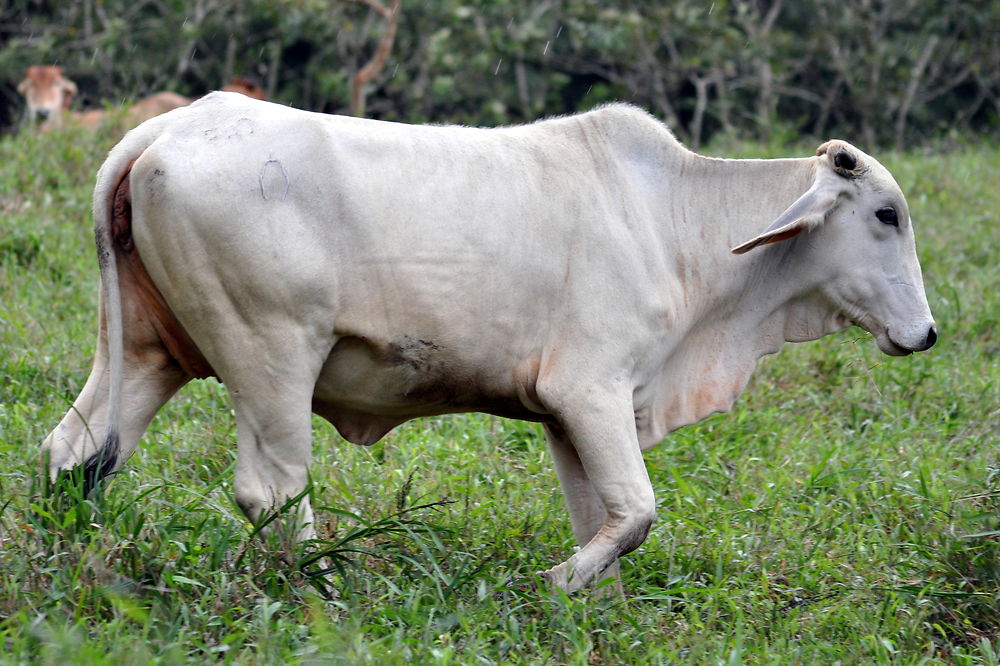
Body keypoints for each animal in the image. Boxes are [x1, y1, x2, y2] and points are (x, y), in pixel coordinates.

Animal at [43, 92, 932, 592]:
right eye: (886, 214)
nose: (924, 334)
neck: (673, 223)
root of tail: (166, 131)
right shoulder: (592, 390)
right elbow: (637, 514)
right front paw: (554, 585)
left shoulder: (570, 418)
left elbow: (605, 521)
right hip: (271, 354)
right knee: (272, 489)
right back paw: (328, 590)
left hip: (149, 351)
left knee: (75, 452)